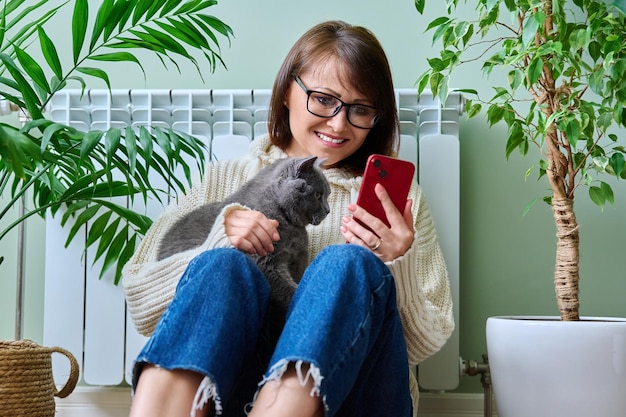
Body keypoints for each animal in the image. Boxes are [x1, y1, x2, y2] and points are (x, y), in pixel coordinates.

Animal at [156, 156, 332, 312]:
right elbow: (288, 291)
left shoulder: (298, 261)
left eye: (328, 194)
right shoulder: (265, 263)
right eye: (318, 195)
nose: (328, 210)